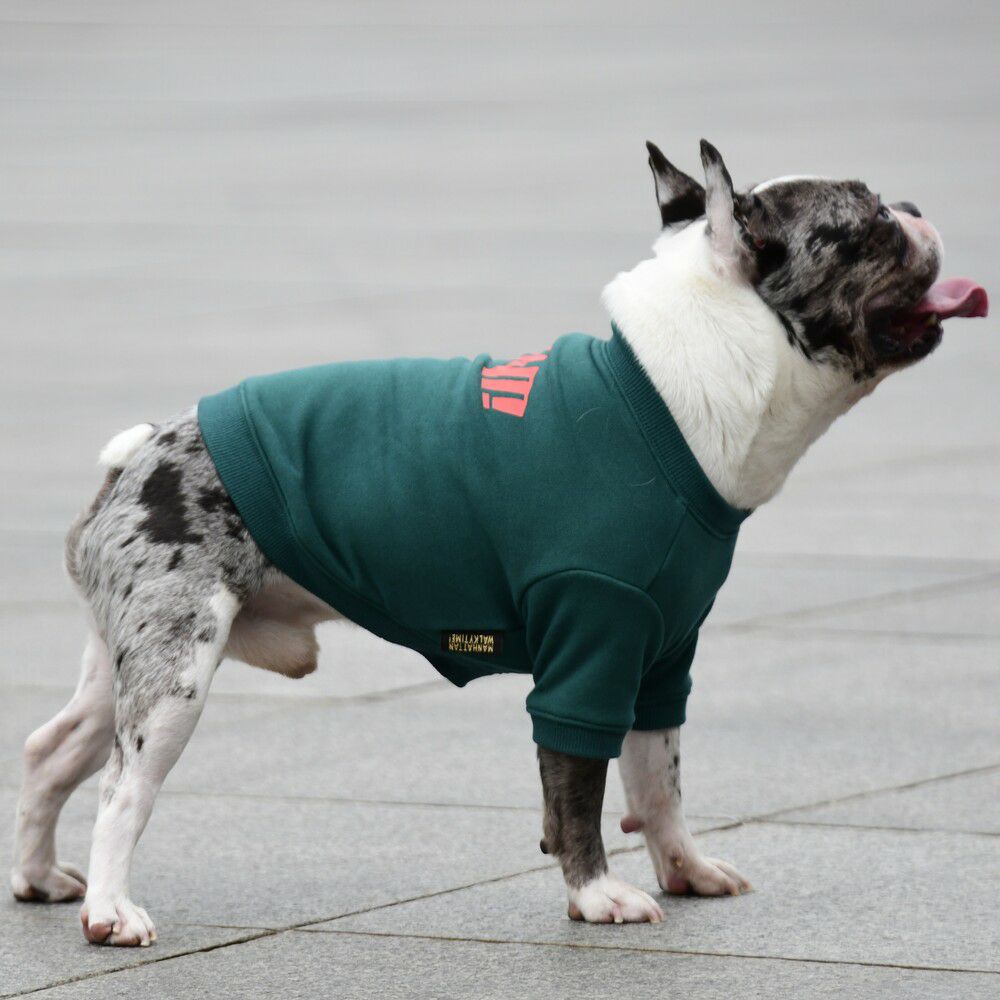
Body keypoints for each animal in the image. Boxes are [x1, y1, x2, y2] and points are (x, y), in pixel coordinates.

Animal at [11, 140, 988, 944]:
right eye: (870, 219)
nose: (912, 202)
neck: (687, 385)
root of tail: (140, 449)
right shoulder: (589, 637)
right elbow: (579, 784)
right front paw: (596, 894)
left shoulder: (660, 652)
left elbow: (657, 777)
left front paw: (684, 870)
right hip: (178, 666)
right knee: (123, 787)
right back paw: (112, 912)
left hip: (127, 657)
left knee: (56, 750)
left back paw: (39, 878)